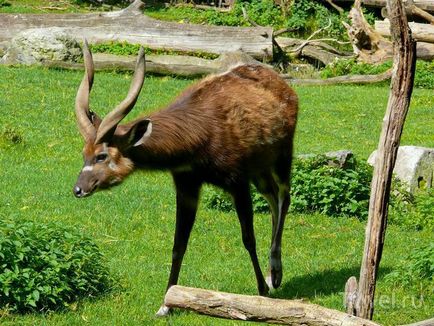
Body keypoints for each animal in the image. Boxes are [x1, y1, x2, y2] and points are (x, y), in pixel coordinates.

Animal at [73, 41, 298, 316]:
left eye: (102, 156)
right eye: (84, 154)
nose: (78, 189)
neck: (201, 135)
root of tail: (284, 86)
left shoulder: (237, 182)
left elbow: (248, 239)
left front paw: (262, 292)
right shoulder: (187, 184)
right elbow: (178, 244)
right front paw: (165, 305)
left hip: (282, 155)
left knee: (284, 196)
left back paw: (274, 274)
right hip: (260, 170)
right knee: (273, 197)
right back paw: (273, 274)